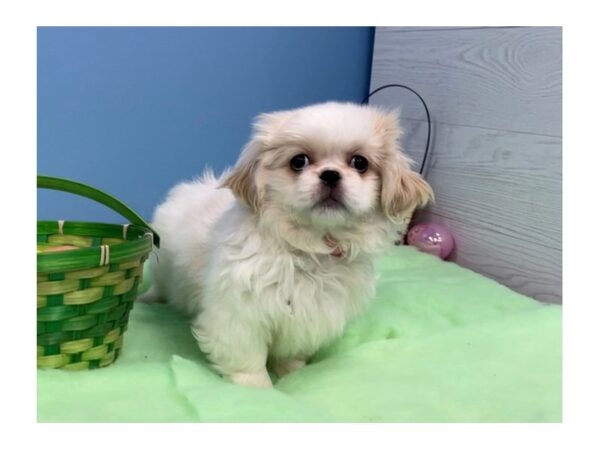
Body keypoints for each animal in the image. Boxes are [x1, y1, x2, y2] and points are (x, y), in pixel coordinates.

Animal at [143, 101, 434, 386]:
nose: (330, 174)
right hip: (164, 267)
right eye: (299, 161)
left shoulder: (309, 317)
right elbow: (247, 359)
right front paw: (257, 389)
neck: (312, 250)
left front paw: (292, 372)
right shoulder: (239, 316)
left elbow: (291, 353)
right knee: (161, 285)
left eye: (360, 162)